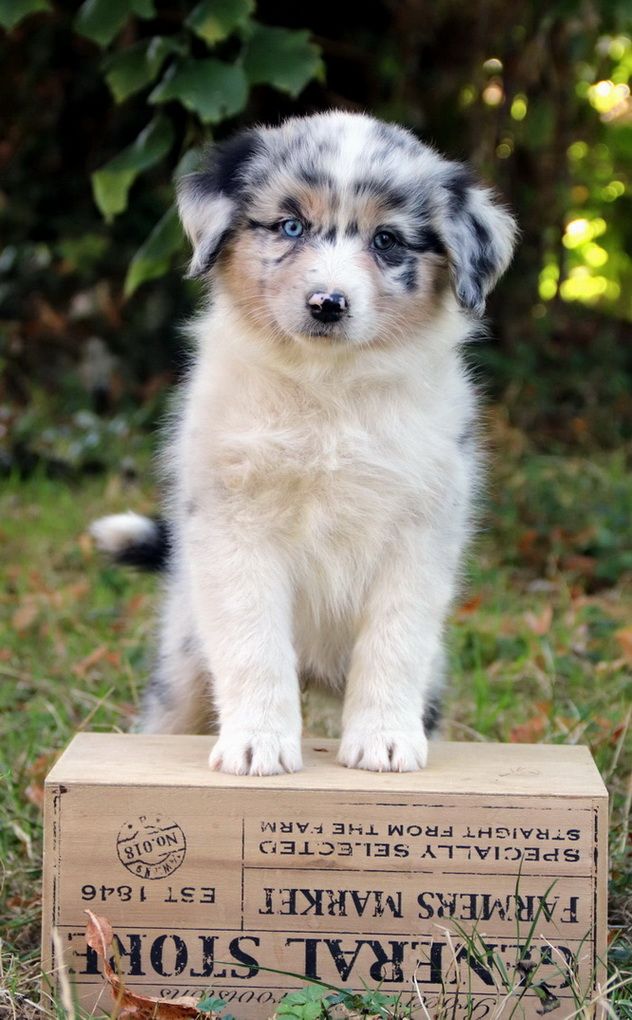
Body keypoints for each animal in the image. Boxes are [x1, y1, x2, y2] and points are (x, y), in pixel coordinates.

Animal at [91, 110, 516, 776]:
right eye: (291, 226)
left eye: (387, 241)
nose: (327, 304)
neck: (327, 390)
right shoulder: (234, 526)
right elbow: (253, 644)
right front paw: (258, 743)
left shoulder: (421, 533)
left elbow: (394, 640)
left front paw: (383, 739)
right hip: (183, 665)